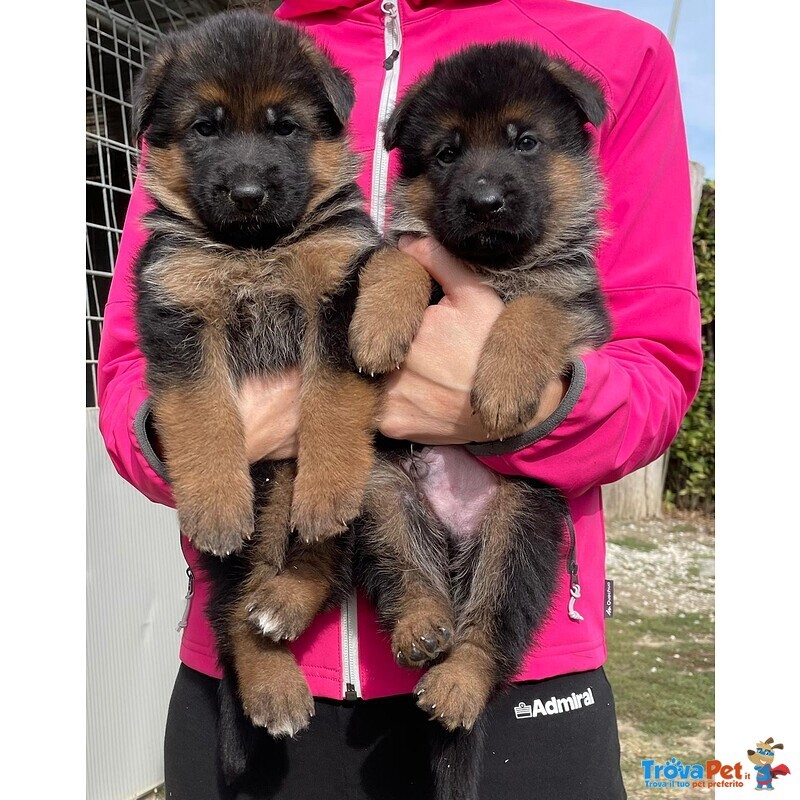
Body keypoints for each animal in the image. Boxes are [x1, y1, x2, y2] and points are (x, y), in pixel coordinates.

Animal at [130, 7, 378, 780]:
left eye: (285, 127)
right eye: (205, 127)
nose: (245, 194)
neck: (255, 248)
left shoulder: (341, 299)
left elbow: (332, 404)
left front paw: (328, 485)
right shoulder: (180, 319)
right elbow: (203, 416)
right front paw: (215, 499)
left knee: (319, 562)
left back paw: (286, 603)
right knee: (233, 611)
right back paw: (273, 680)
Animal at [352, 42, 612, 800]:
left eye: (525, 142)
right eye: (446, 152)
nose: (485, 201)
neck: (493, 265)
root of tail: (456, 536)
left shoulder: (581, 313)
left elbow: (536, 306)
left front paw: (501, 382)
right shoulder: (415, 254)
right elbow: (398, 261)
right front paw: (378, 323)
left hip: (520, 531)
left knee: (491, 633)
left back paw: (458, 682)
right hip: (381, 496)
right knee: (409, 578)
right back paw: (421, 626)